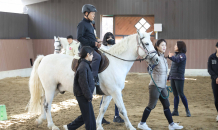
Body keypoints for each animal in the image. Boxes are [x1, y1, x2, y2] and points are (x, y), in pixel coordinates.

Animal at [28, 31, 159, 130]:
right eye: (147, 43)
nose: (157, 59)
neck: (116, 62)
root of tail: (44, 58)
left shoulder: (109, 94)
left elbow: (102, 109)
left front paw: (99, 125)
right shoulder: (115, 92)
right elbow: (122, 110)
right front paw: (131, 127)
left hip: (55, 89)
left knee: (43, 101)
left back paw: (40, 120)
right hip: (50, 89)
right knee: (47, 105)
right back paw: (52, 125)